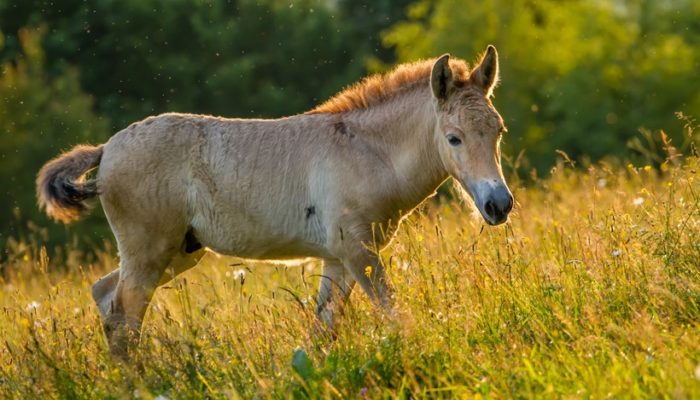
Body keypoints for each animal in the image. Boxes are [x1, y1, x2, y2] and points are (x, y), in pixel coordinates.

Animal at [35, 45, 512, 358]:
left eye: (498, 130)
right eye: (454, 138)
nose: (499, 205)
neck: (368, 152)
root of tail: (107, 148)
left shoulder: (338, 259)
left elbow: (323, 330)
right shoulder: (359, 253)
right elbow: (394, 314)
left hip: (178, 251)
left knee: (106, 298)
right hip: (149, 251)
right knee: (125, 315)